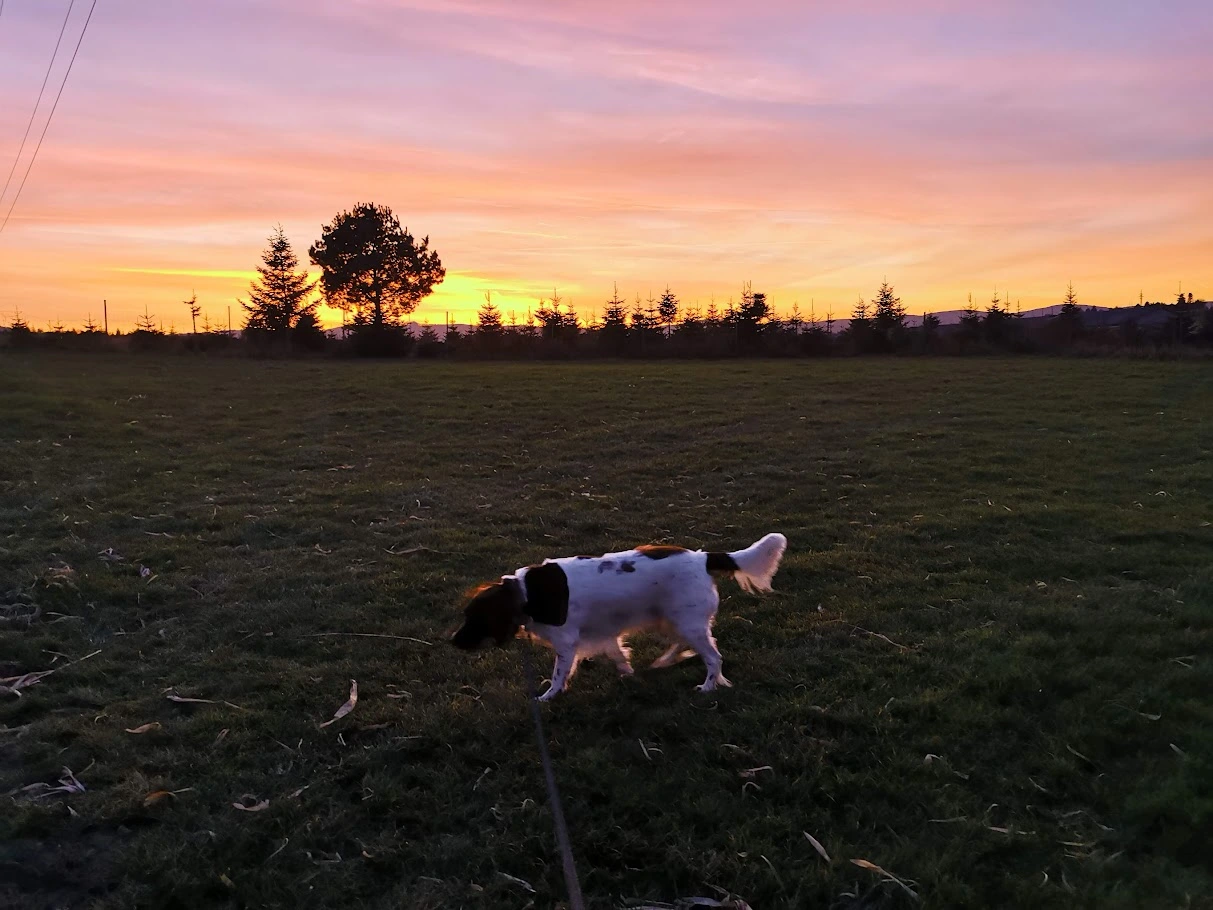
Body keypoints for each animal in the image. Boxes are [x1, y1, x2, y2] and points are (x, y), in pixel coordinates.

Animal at [450, 533, 787, 701]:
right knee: (687, 645)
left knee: (713, 657)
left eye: (473, 619)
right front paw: (628, 674)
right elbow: (618, 655)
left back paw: (708, 687)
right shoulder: (604, 634)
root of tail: (702, 557)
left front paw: (547, 697)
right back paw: (665, 661)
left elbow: (559, 676)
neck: (526, 593)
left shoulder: (566, 643)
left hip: (685, 621)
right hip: (672, 619)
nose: (452, 641)